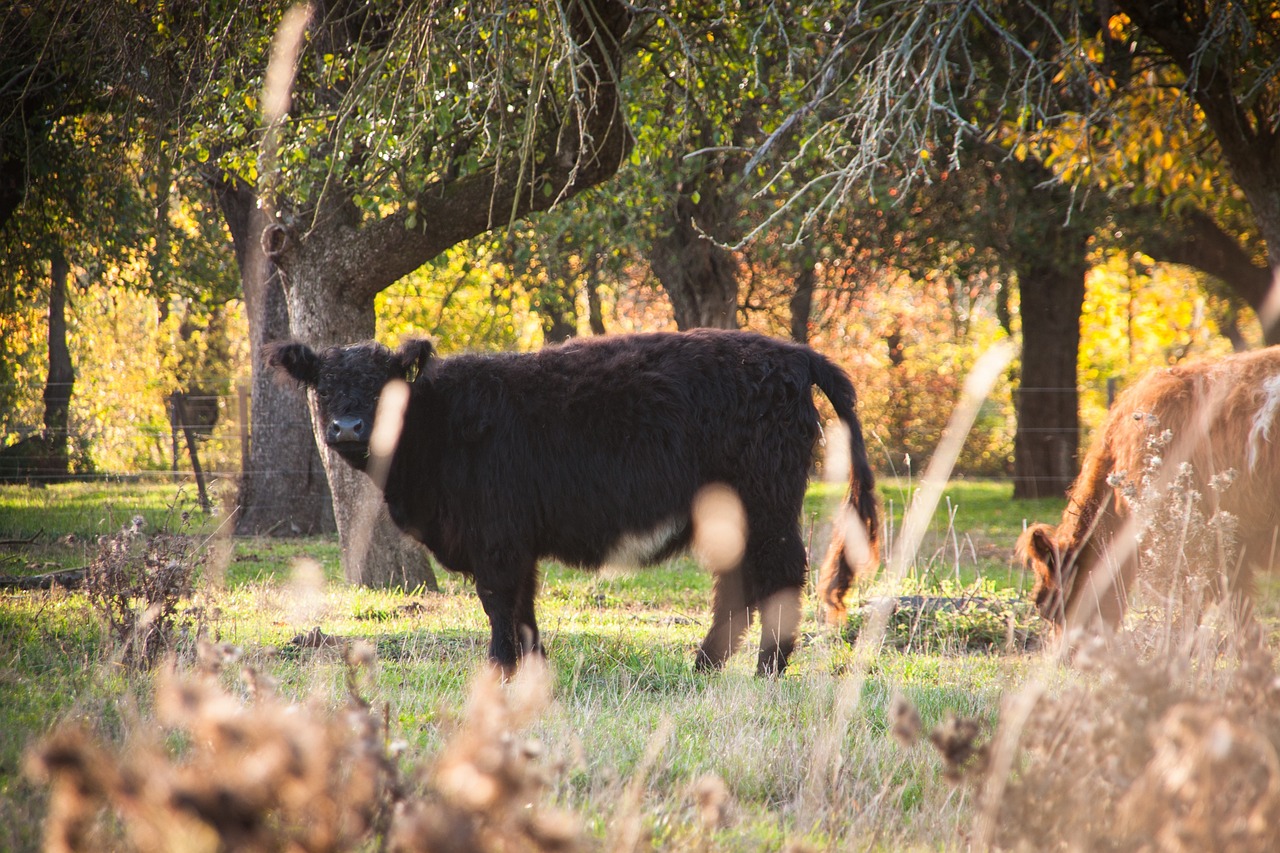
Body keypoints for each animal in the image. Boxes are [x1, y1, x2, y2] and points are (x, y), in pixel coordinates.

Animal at [267, 328, 880, 676]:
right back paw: (704, 668)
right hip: (732, 514)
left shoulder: (497, 538)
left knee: (779, 577)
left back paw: (765, 672)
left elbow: (499, 604)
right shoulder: (515, 542)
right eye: (322, 385)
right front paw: (531, 669)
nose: (348, 427)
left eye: (383, 386)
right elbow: (523, 608)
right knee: (736, 587)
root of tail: (792, 354)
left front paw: (499, 671)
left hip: (766, 504)